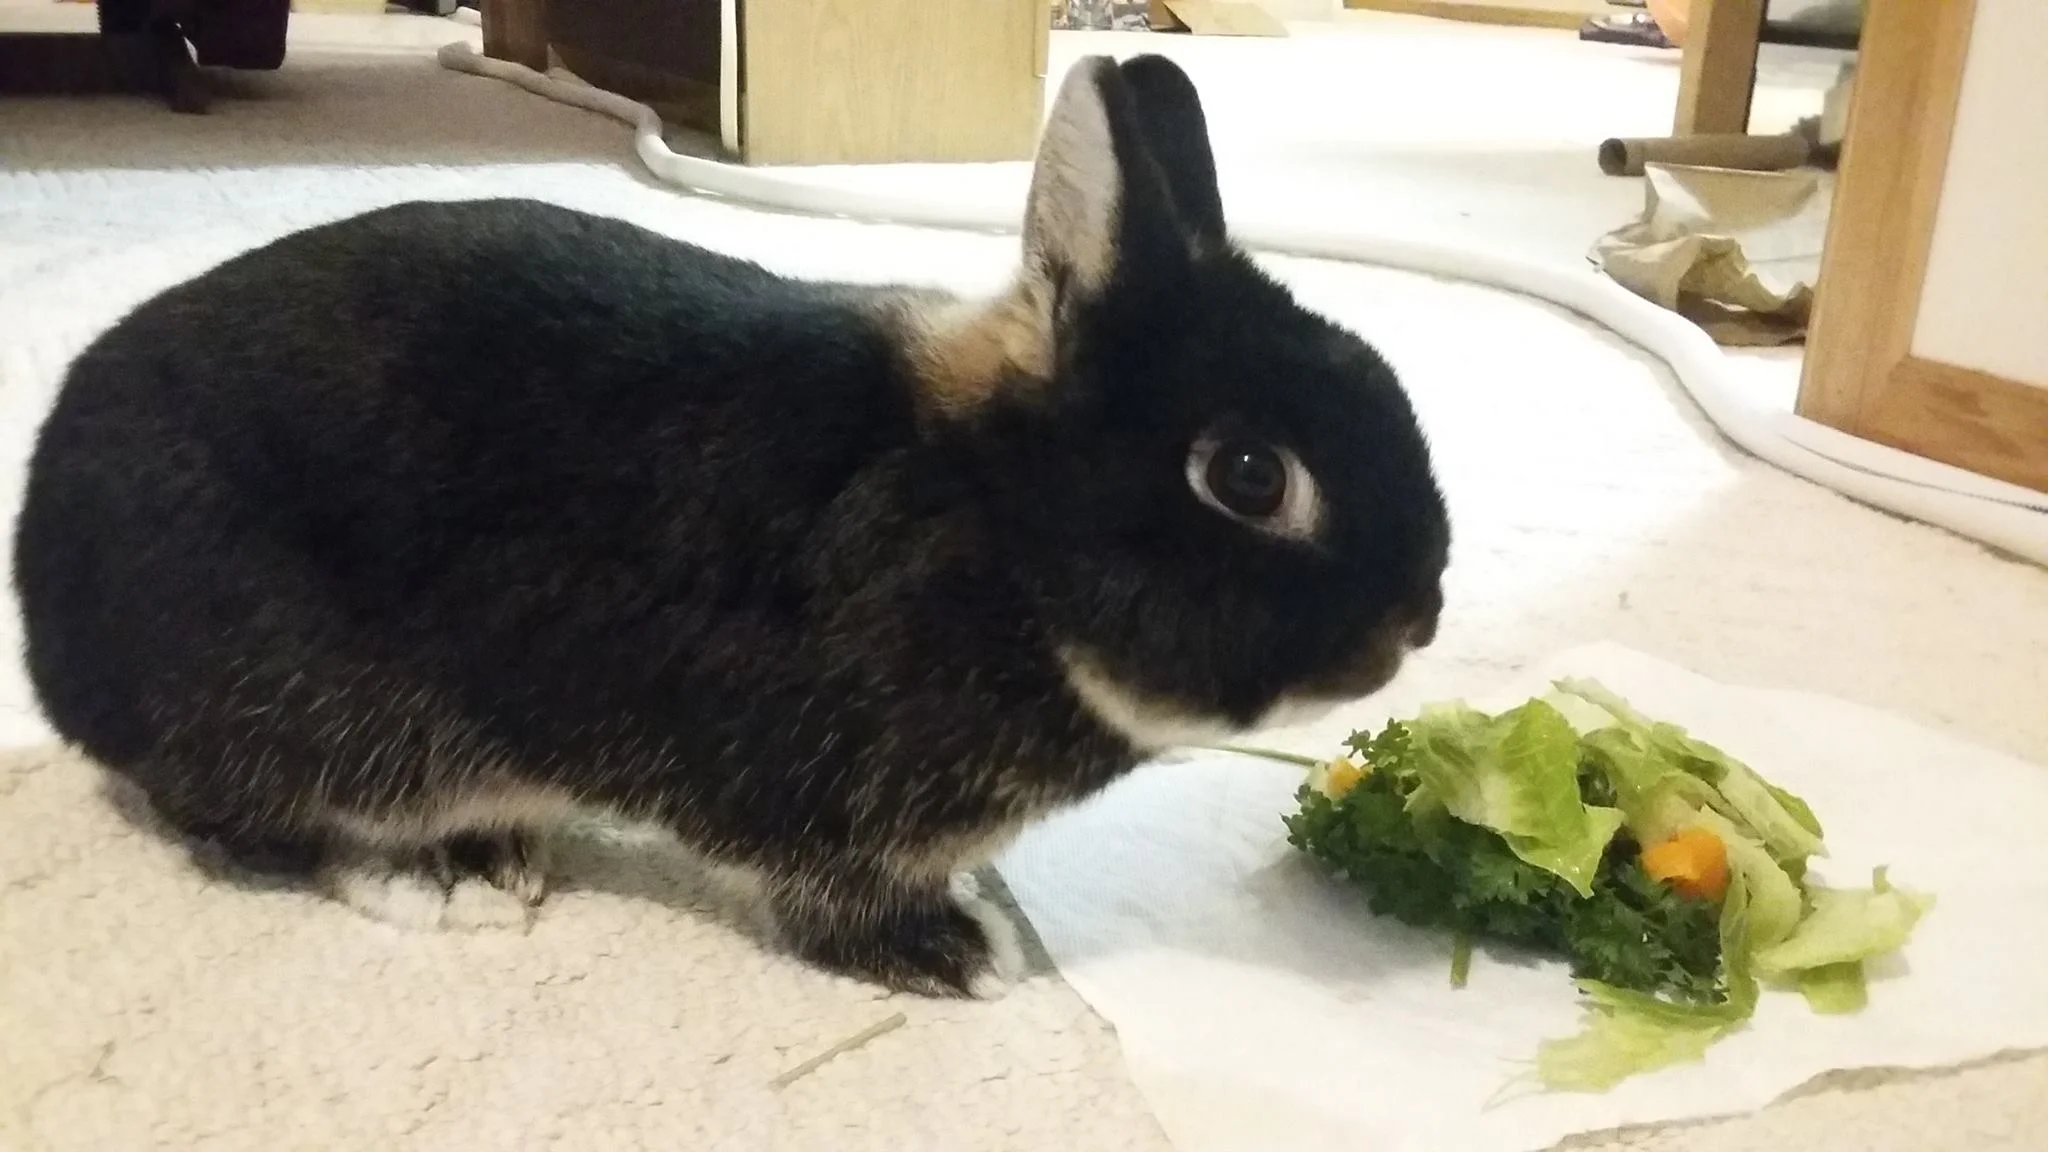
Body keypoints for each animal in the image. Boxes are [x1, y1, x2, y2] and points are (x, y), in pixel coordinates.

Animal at [12, 54, 1450, 997]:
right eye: (1249, 475)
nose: (1418, 619)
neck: (991, 525)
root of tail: (42, 596)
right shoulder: (817, 798)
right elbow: (834, 897)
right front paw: (956, 957)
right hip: (300, 704)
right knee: (244, 818)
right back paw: (439, 878)